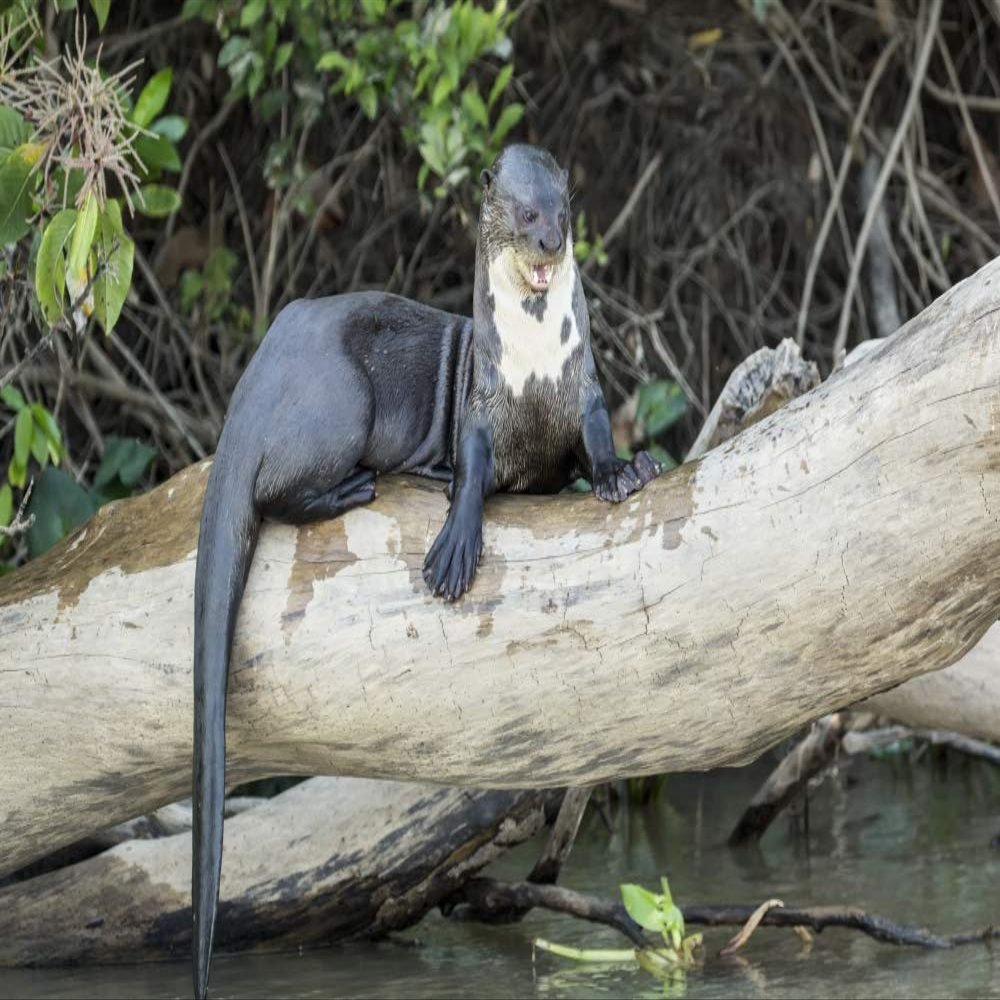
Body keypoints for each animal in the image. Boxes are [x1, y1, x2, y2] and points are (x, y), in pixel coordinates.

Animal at [191, 143, 659, 998]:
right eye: (522, 212)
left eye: (562, 208)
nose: (547, 244)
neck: (534, 368)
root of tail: (259, 369)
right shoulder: (479, 407)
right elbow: (474, 468)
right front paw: (452, 547)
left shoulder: (582, 391)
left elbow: (596, 439)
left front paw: (623, 472)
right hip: (341, 401)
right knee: (277, 491)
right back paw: (362, 487)